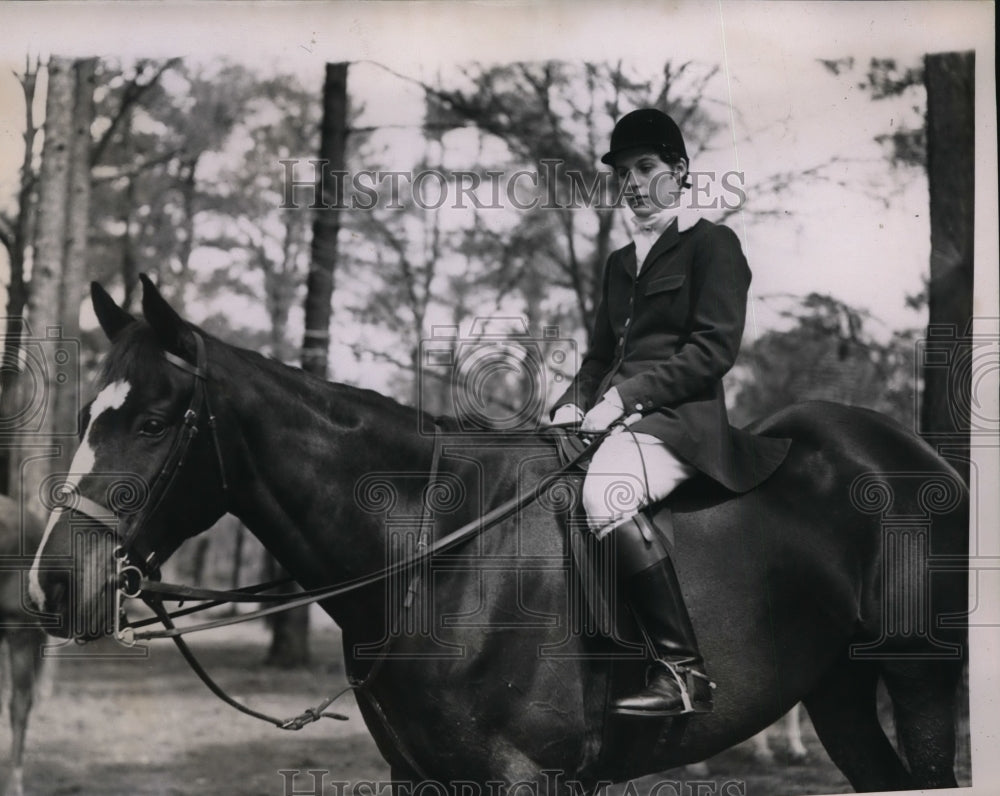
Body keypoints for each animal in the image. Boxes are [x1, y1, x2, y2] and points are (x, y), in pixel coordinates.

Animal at [31, 280, 968, 788]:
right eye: (83, 418)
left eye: (154, 423)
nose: (54, 584)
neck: (435, 552)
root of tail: (915, 454)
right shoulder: (420, 775)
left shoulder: (525, 775)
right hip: (836, 688)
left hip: (918, 675)